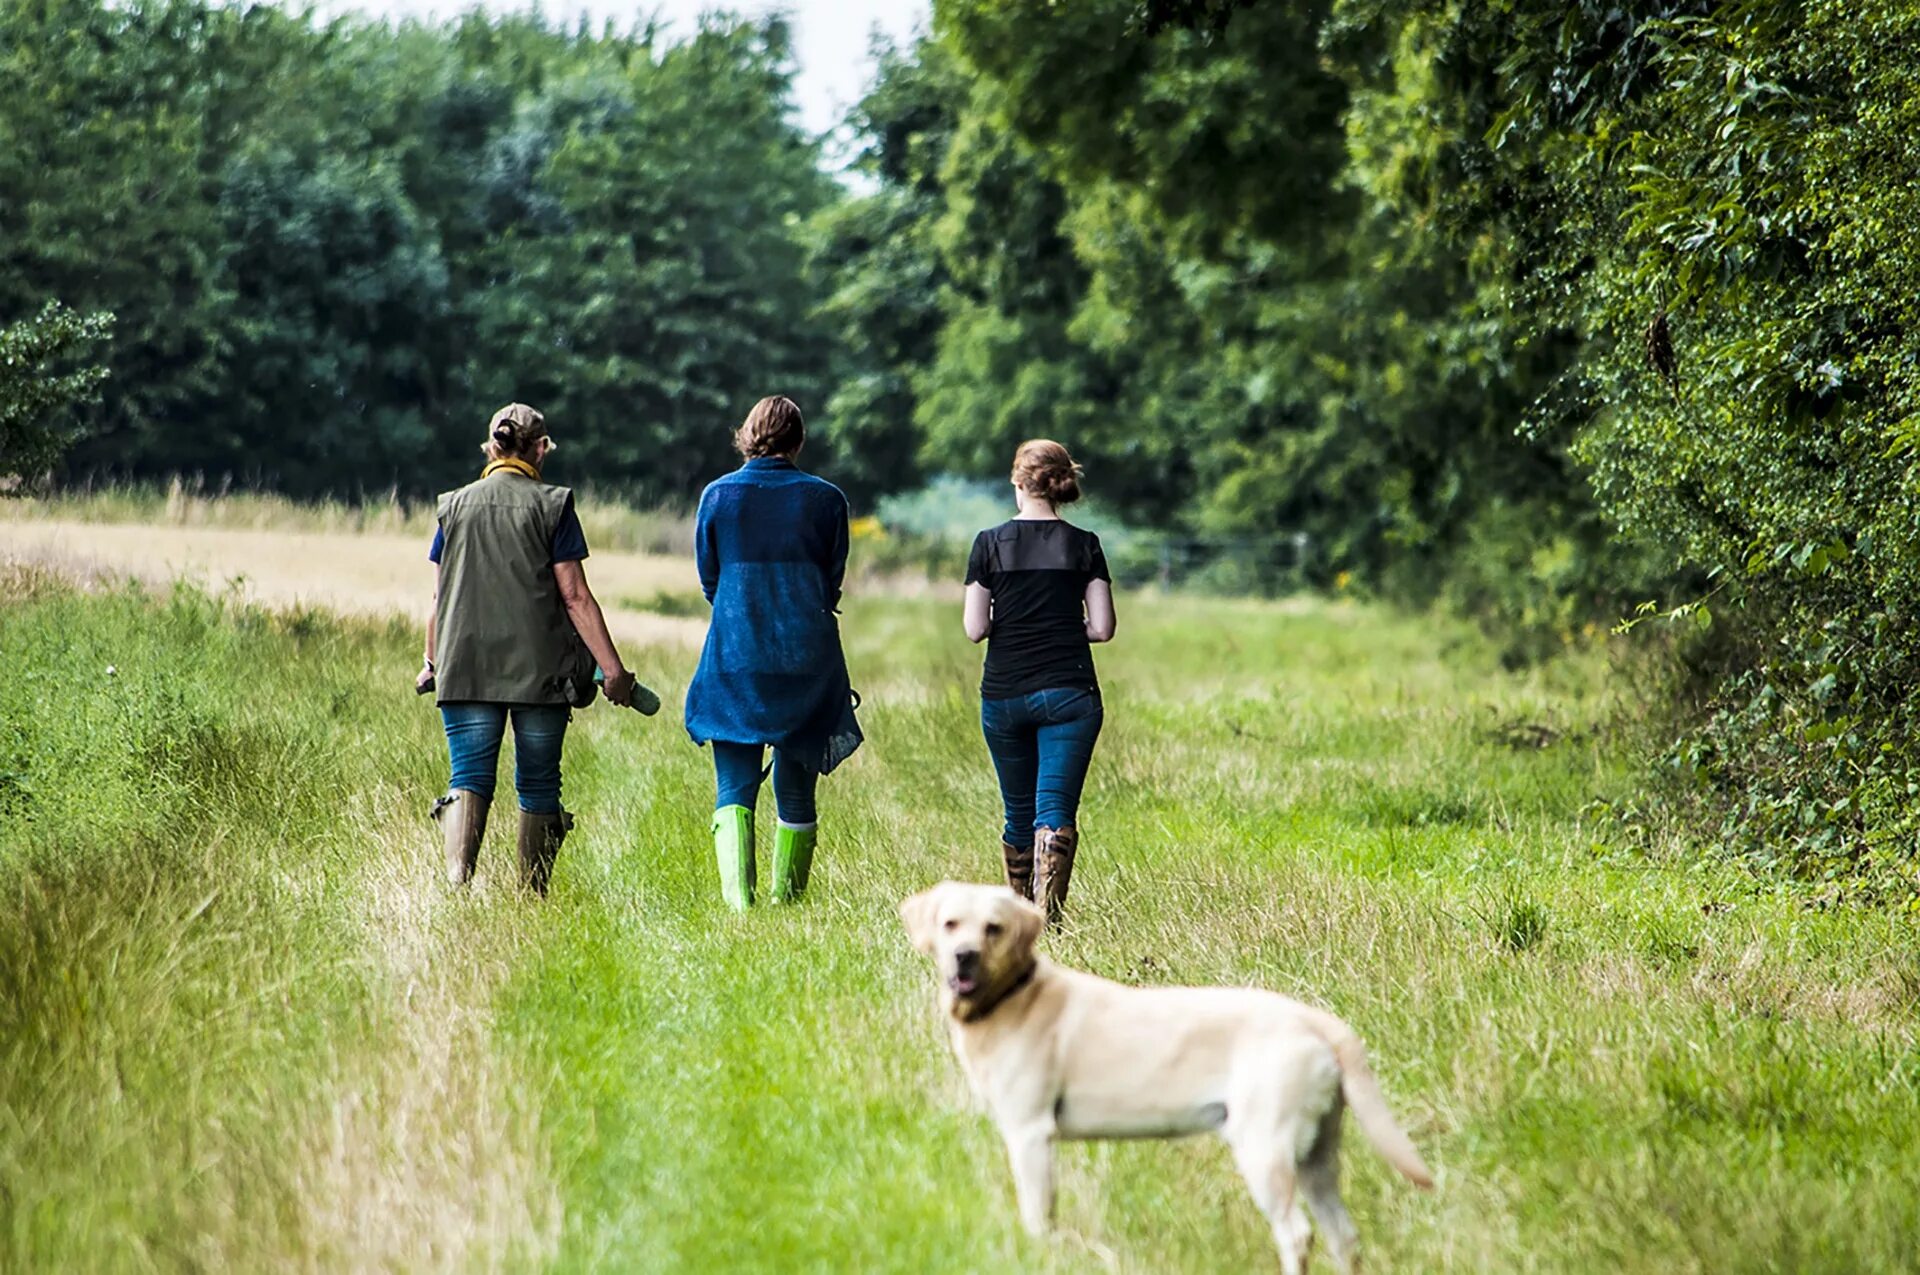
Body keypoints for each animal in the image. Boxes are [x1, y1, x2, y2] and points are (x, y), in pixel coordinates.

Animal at [898, 883, 1428, 1267]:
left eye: (993, 927)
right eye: (950, 923)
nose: (964, 955)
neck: (1013, 996)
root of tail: (1316, 1021)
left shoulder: (1030, 1134)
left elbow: (1037, 1216)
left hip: (1265, 1149)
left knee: (1296, 1234)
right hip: (1318, 1156)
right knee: (1343, 1236)